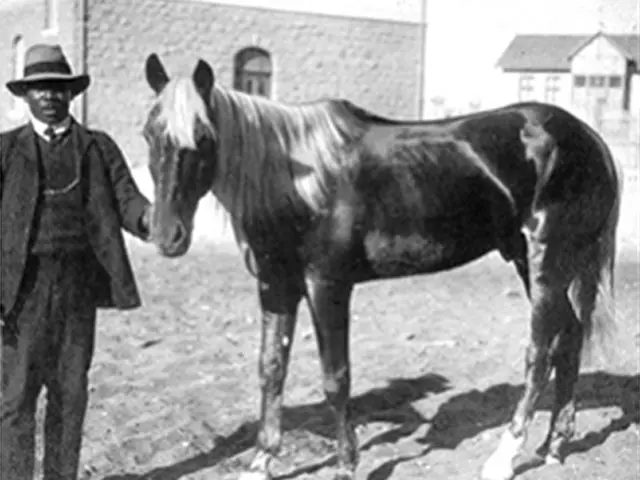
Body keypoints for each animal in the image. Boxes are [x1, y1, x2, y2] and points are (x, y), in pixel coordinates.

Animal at [141, 52, 622, 480]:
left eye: (203, 137)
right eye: (148, 133)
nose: (166, 235)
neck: (297, 182)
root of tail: (589, 137)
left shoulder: (327, 286)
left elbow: (335, 377)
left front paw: (346, 464)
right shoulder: (276, 285)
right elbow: (271, 369)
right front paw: (261, 463)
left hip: (546, 261)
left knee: (539, 352)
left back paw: (504, 458)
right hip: (534, 261)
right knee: (569, 337)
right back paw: (554, 445)